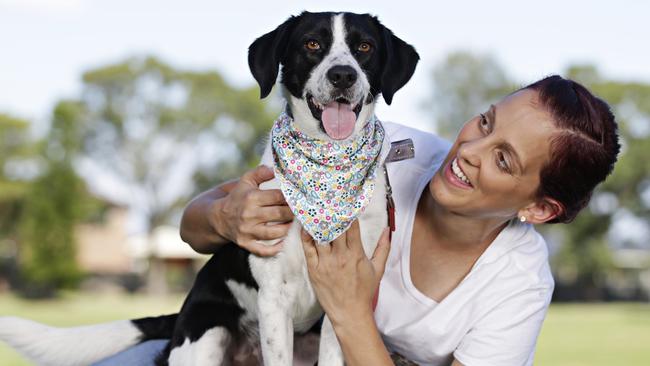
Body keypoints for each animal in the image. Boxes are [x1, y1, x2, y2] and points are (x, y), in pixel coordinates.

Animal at [0, 11, 416, 366]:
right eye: (312, 43)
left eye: (365, 47)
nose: (343, 75)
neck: (327, 168)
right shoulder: (274, 298)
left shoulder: (344, 299)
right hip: (206, 337)